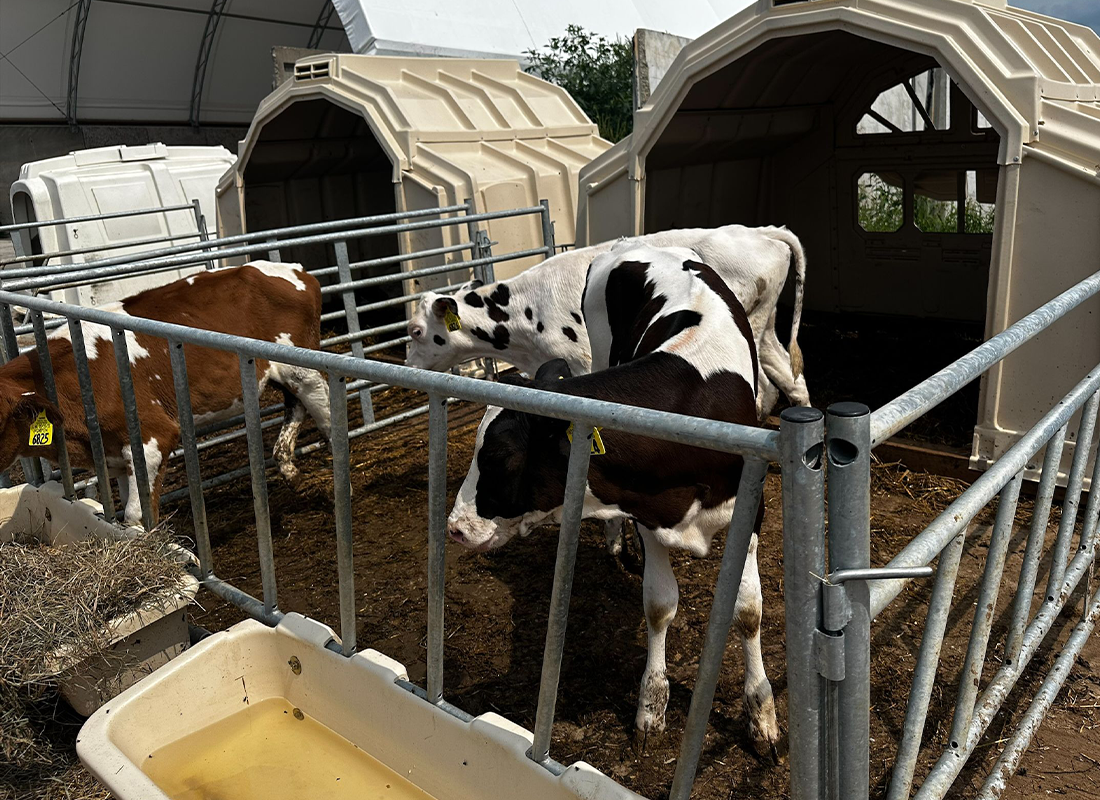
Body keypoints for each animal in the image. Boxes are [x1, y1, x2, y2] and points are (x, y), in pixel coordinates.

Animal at [0, 261, 331, 526]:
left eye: (0, 420)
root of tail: (294, 269)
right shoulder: (116, 456)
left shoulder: (153, 436)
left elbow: (137, 515)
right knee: (296, 405)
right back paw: (290, 469)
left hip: (300, 365)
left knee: (324, 404)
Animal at [405, 225, 809, 420]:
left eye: (416, 331)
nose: (408, 369)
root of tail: (758, 231)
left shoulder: (583, 361)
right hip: (765, 326)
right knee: (788, 379)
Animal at [445, 242, 782, 760]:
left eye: (499, 456)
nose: (455, 527)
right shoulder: (647, 512)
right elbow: (660, 605)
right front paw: (651, 707)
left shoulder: (752, 509)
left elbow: (748, 611)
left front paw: (761, 716)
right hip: (602, 346)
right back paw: (613, 541)